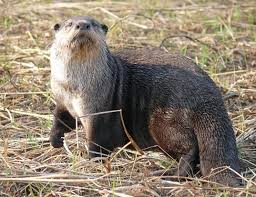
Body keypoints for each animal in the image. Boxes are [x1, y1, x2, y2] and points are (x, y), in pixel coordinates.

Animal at [49, 16, 240, 185]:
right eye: (69, 24)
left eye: (94, 23)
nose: (82, 25)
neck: (75, 88)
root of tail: (208, 95)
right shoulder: (63, 100)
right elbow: (61, 119)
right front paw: (55, 140)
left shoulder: (99, 110)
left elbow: (97, 140)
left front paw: (92, 162)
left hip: (166, 121)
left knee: (189, 149)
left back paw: (171, 174)